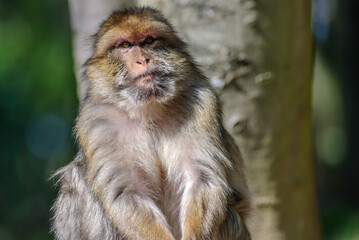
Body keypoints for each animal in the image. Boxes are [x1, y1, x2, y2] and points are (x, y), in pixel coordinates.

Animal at [52, 7, 252, 240]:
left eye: (149, 41)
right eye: (125, 45)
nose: (143, 60)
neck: (148, 111)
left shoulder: (202, 103)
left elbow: (201, 177)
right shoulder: (95, 122)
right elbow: (126, 191)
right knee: (78, 176)